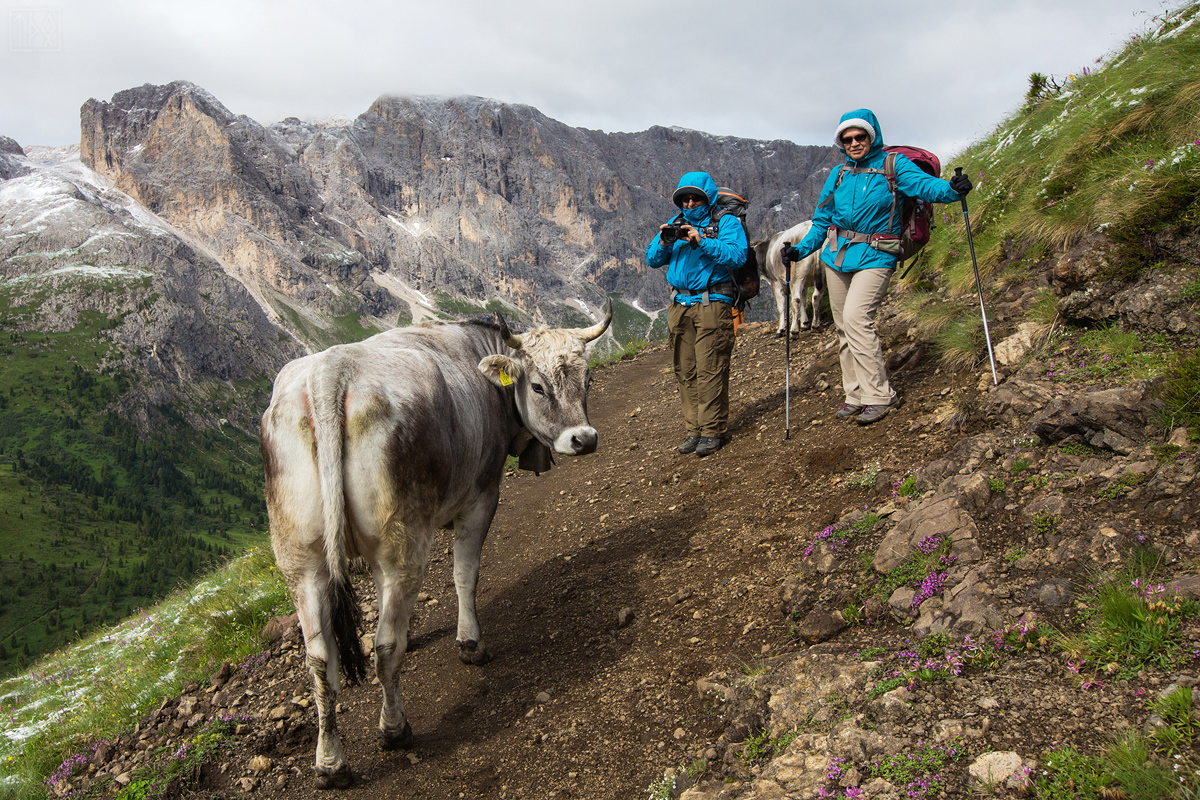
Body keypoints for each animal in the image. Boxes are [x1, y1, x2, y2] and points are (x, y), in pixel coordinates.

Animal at [261, 309, 609, 786]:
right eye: (538, 386)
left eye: (587, 378)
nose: (584, 439)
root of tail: (331, 370)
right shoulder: (482, 497)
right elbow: (465, 573)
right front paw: (471, 643)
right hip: (404, 540)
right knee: (384, 647)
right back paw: (394, 729)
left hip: (302, 560)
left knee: (319, 659)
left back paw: (331, 763)